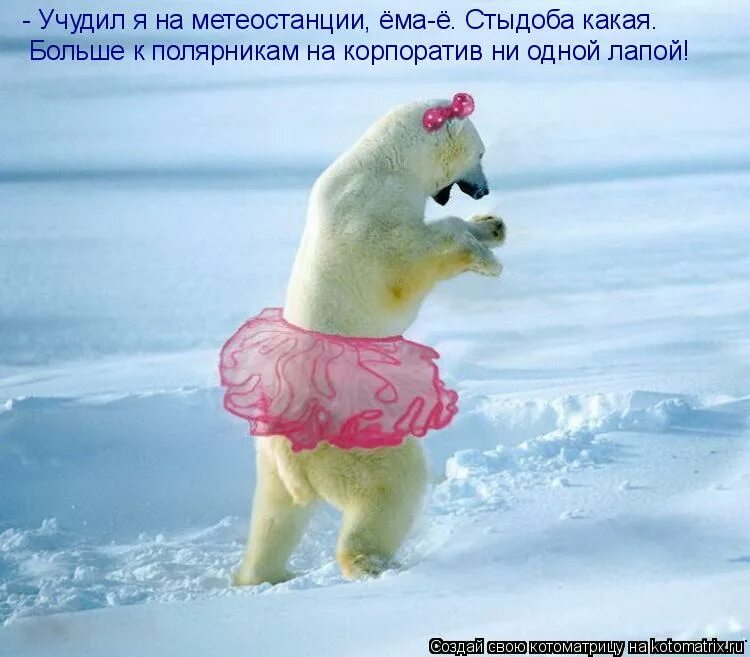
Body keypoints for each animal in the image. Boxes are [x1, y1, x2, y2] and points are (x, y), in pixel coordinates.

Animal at [232, 96, 505, 586]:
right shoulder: (369, 225)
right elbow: (409, 259)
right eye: (481, 153)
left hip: (269, 458)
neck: (383, 167)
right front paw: (484, 256)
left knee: (273, 516)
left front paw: (492, 227)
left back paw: (260, 574)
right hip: (354, 436)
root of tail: (293, 461)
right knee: (391, 485)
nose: (484, 191)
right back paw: (374, 563)